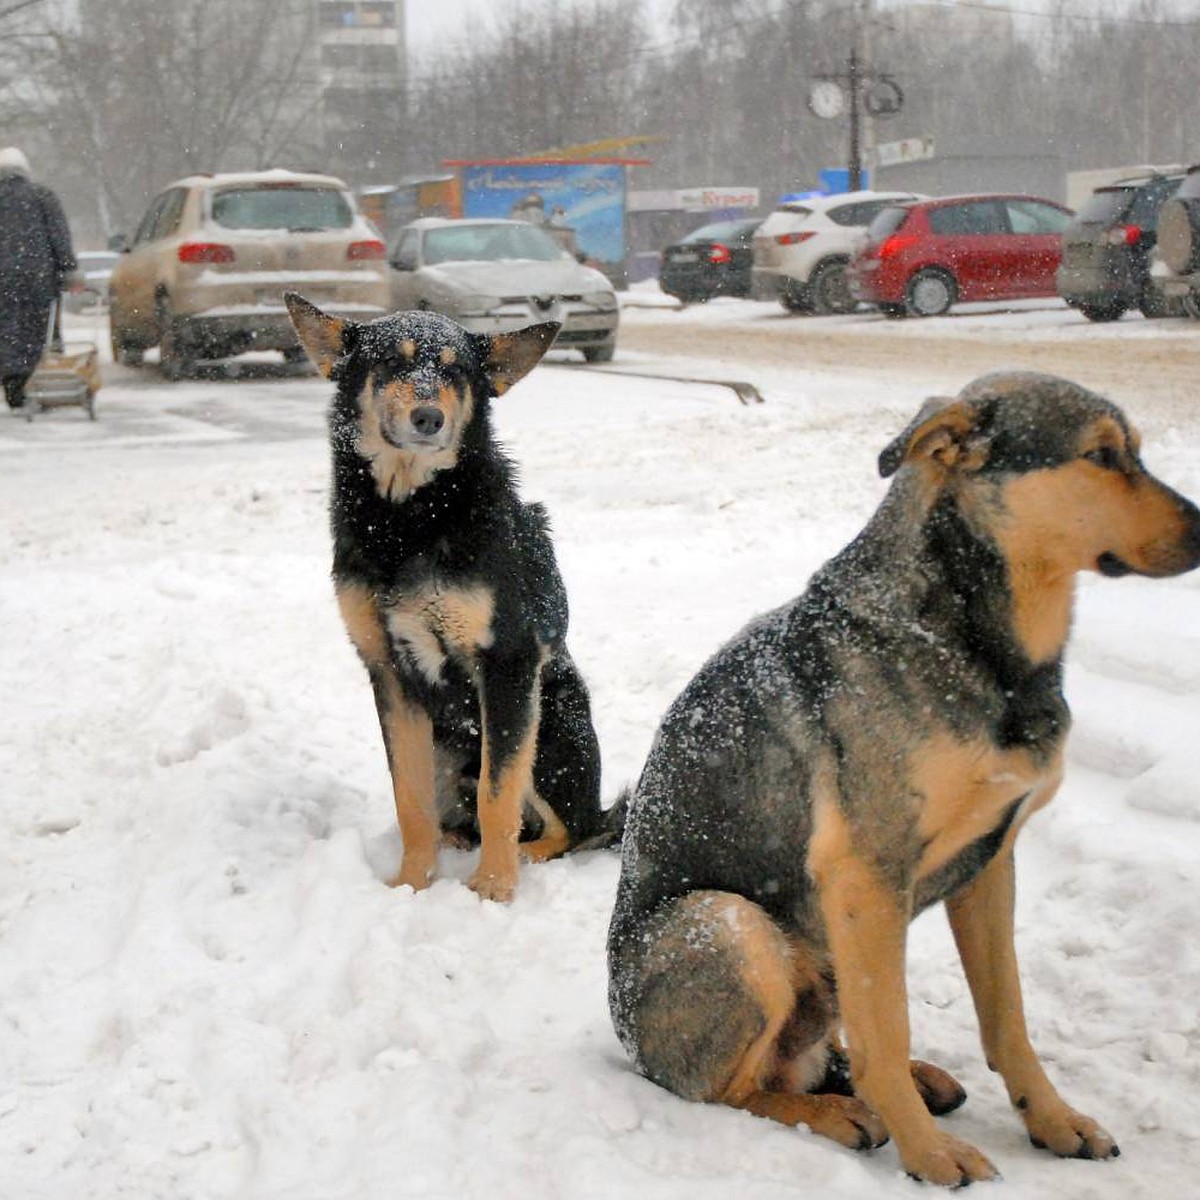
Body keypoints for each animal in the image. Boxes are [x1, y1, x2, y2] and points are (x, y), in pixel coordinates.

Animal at [283, 292, 619, 902]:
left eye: (456, 371)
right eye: (390, 363)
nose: (428, 418)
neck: (410, 518)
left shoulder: (507, 662)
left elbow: (497, 791)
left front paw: (493, 888)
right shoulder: (390, 672)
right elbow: (410, 800)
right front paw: (413, 883)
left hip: (551, 723)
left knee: (576, 828)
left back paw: (523, 857)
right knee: (459, 815)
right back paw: (457, 844)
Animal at [609, 372, 1200, 1180]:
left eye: (1136, 451)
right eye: (1101, 455)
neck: (971, 638)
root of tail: (629, 1048)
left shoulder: (991, 866)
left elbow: (1007, 1020)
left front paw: (1052, 1120)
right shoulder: (865, 874)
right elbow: (887, 1032)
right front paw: (928, 1153)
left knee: (817, 1053)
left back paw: (898, 1083)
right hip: (730, 923)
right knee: (732, 1089)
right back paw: (837, 1113)